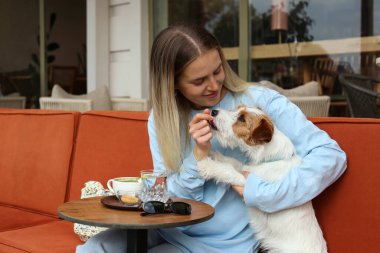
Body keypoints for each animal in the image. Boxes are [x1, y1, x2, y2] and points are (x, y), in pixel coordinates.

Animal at [196, 106, 326, 253]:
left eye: (242, 119)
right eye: (237, 108)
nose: (214, 111)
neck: (271, 158)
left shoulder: (248, 182)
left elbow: (228, 170)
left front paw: (207, 165)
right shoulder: (246, 168)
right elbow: (232, 162)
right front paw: (211, 153)